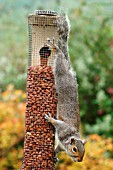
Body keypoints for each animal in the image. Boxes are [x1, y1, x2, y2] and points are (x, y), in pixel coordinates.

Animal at [45, 12, 86, 162]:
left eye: (84, 150)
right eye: (75, 149)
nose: (79, 160)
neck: (68, 139)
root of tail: (69, 71)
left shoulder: (61, 146)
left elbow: (57, 149)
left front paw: (55, 156)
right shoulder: (63, 128)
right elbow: (57, 123)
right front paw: (50, 119)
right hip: (60, 72)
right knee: (60, 57)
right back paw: (55, 48)